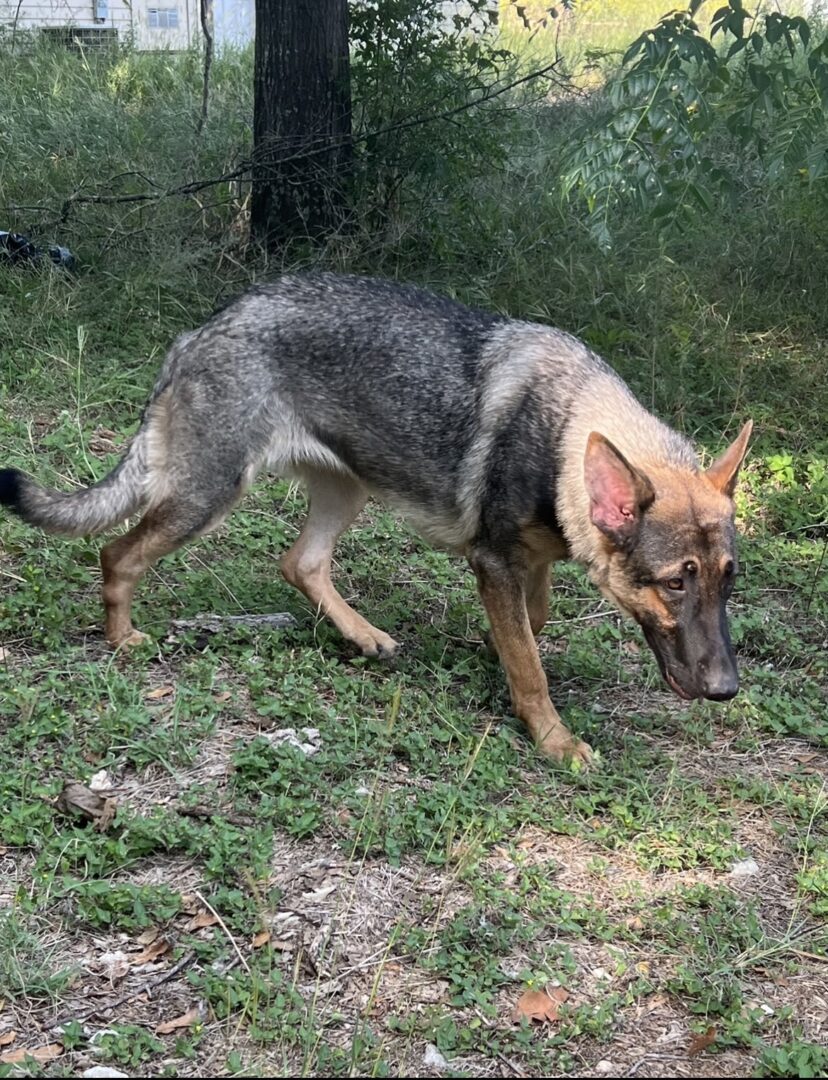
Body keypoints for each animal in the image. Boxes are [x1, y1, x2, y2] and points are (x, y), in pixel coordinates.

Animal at [0, 276, 751, 768]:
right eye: (675, 583)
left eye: (727, 581)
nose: (726, 692)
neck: (563, 425)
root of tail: (198, 334)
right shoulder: (495, 561)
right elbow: (532, 666)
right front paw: (554, 740)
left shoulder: (526, 561)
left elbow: (529, 630)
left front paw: (495, 658)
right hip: (205, 500)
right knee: (117, 556)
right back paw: (122, 640)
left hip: (346, 493)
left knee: (298, 562)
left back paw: (363, 636)